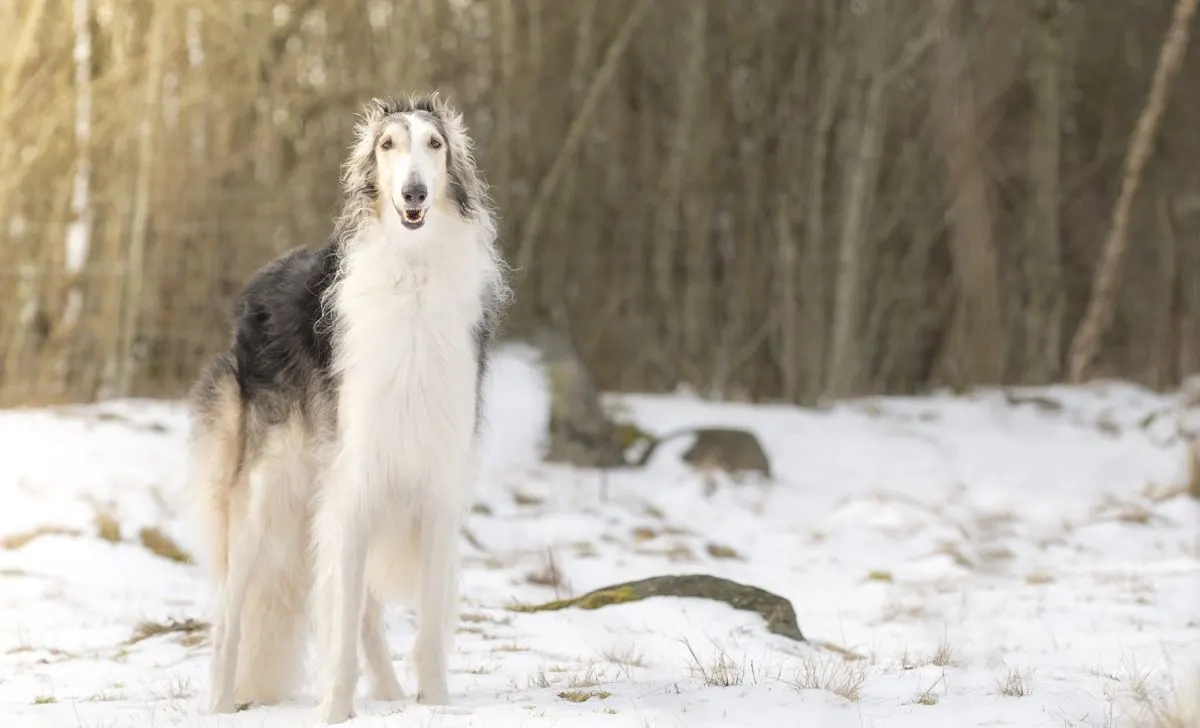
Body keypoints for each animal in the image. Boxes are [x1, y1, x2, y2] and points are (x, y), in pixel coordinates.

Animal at [188, 92, 511, 724]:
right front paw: (334, 711)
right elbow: (337, 621)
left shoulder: (434, 484)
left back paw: (389, 693)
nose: (414, 194)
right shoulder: (357, 477)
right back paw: (220, 703)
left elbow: (425, 629)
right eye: (387, 145)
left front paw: (434, 703)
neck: (412, 274)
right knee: (231, 614)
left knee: (359, 611)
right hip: (265, 491)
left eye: (434, 144)